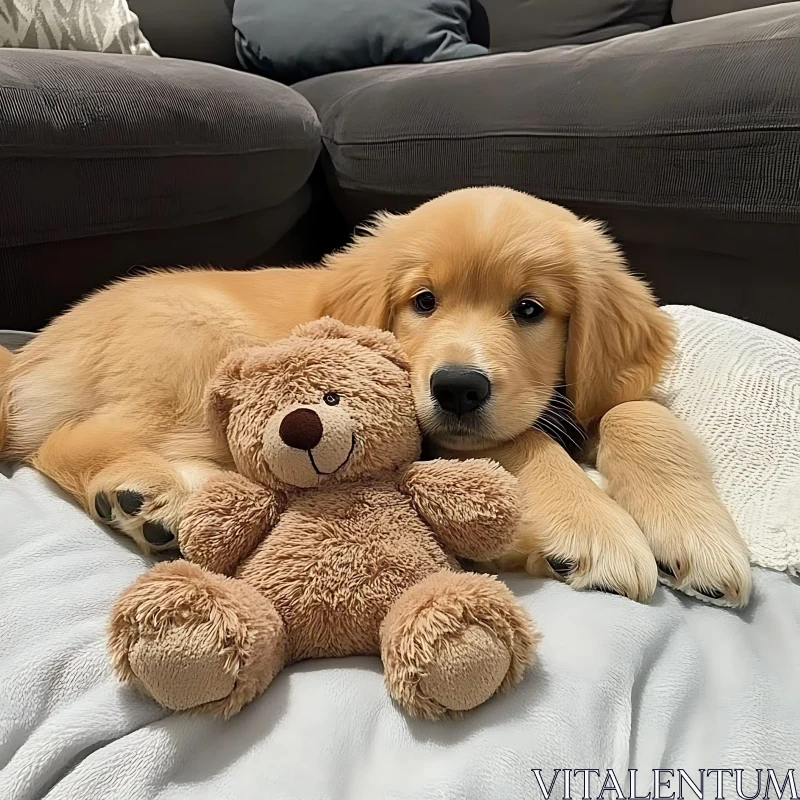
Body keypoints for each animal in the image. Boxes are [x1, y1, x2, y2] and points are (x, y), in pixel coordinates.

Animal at [0, 188, 752, 608]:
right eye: (423, 301)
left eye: (530, 310)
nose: (457, 387)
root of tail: (30, 354)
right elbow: (521, 437)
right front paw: (594, 526)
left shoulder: (596, 394)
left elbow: (634, 409)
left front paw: (698, 532)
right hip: (199, 341)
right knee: (67, 439)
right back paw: (145, 493)